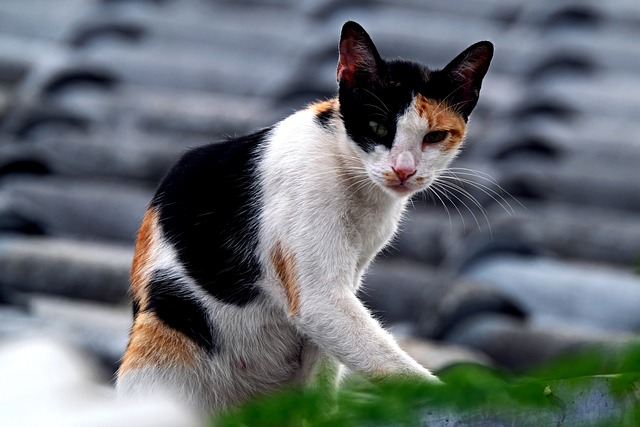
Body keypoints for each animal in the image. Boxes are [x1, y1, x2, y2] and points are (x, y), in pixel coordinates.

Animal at [116, 20, 496, 414]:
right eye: (377, 127)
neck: (350, 172)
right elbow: (377, 354)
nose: (403, 170)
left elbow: (323, 369)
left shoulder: (347, 282)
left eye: (434, 136)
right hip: (165, 328)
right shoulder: (319, 297)